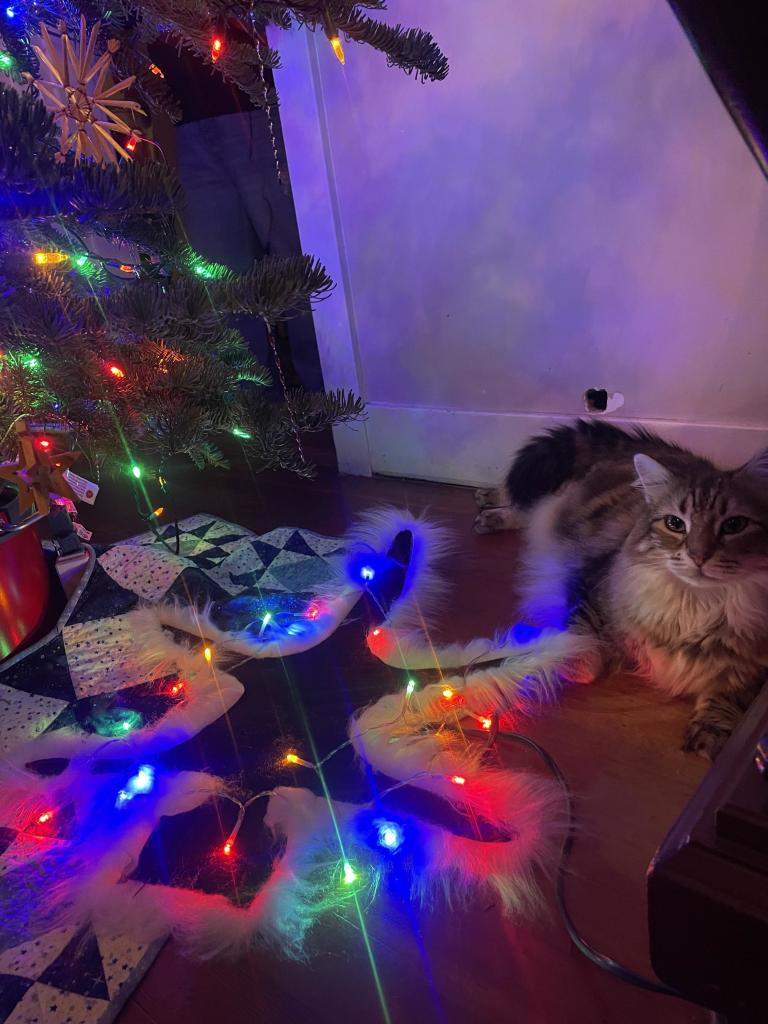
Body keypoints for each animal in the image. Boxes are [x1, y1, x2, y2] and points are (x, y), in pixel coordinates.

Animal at [475, 419, 768, 757]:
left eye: (734, 525)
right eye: (675, 524)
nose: (698, 556)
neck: (695, 605)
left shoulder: (755, 669)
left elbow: (730, 694)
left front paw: (711, 731)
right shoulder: (590, 586)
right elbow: (585, 643)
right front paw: (573, 663)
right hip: (558, 502)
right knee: (528, 502)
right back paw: (487, 506)